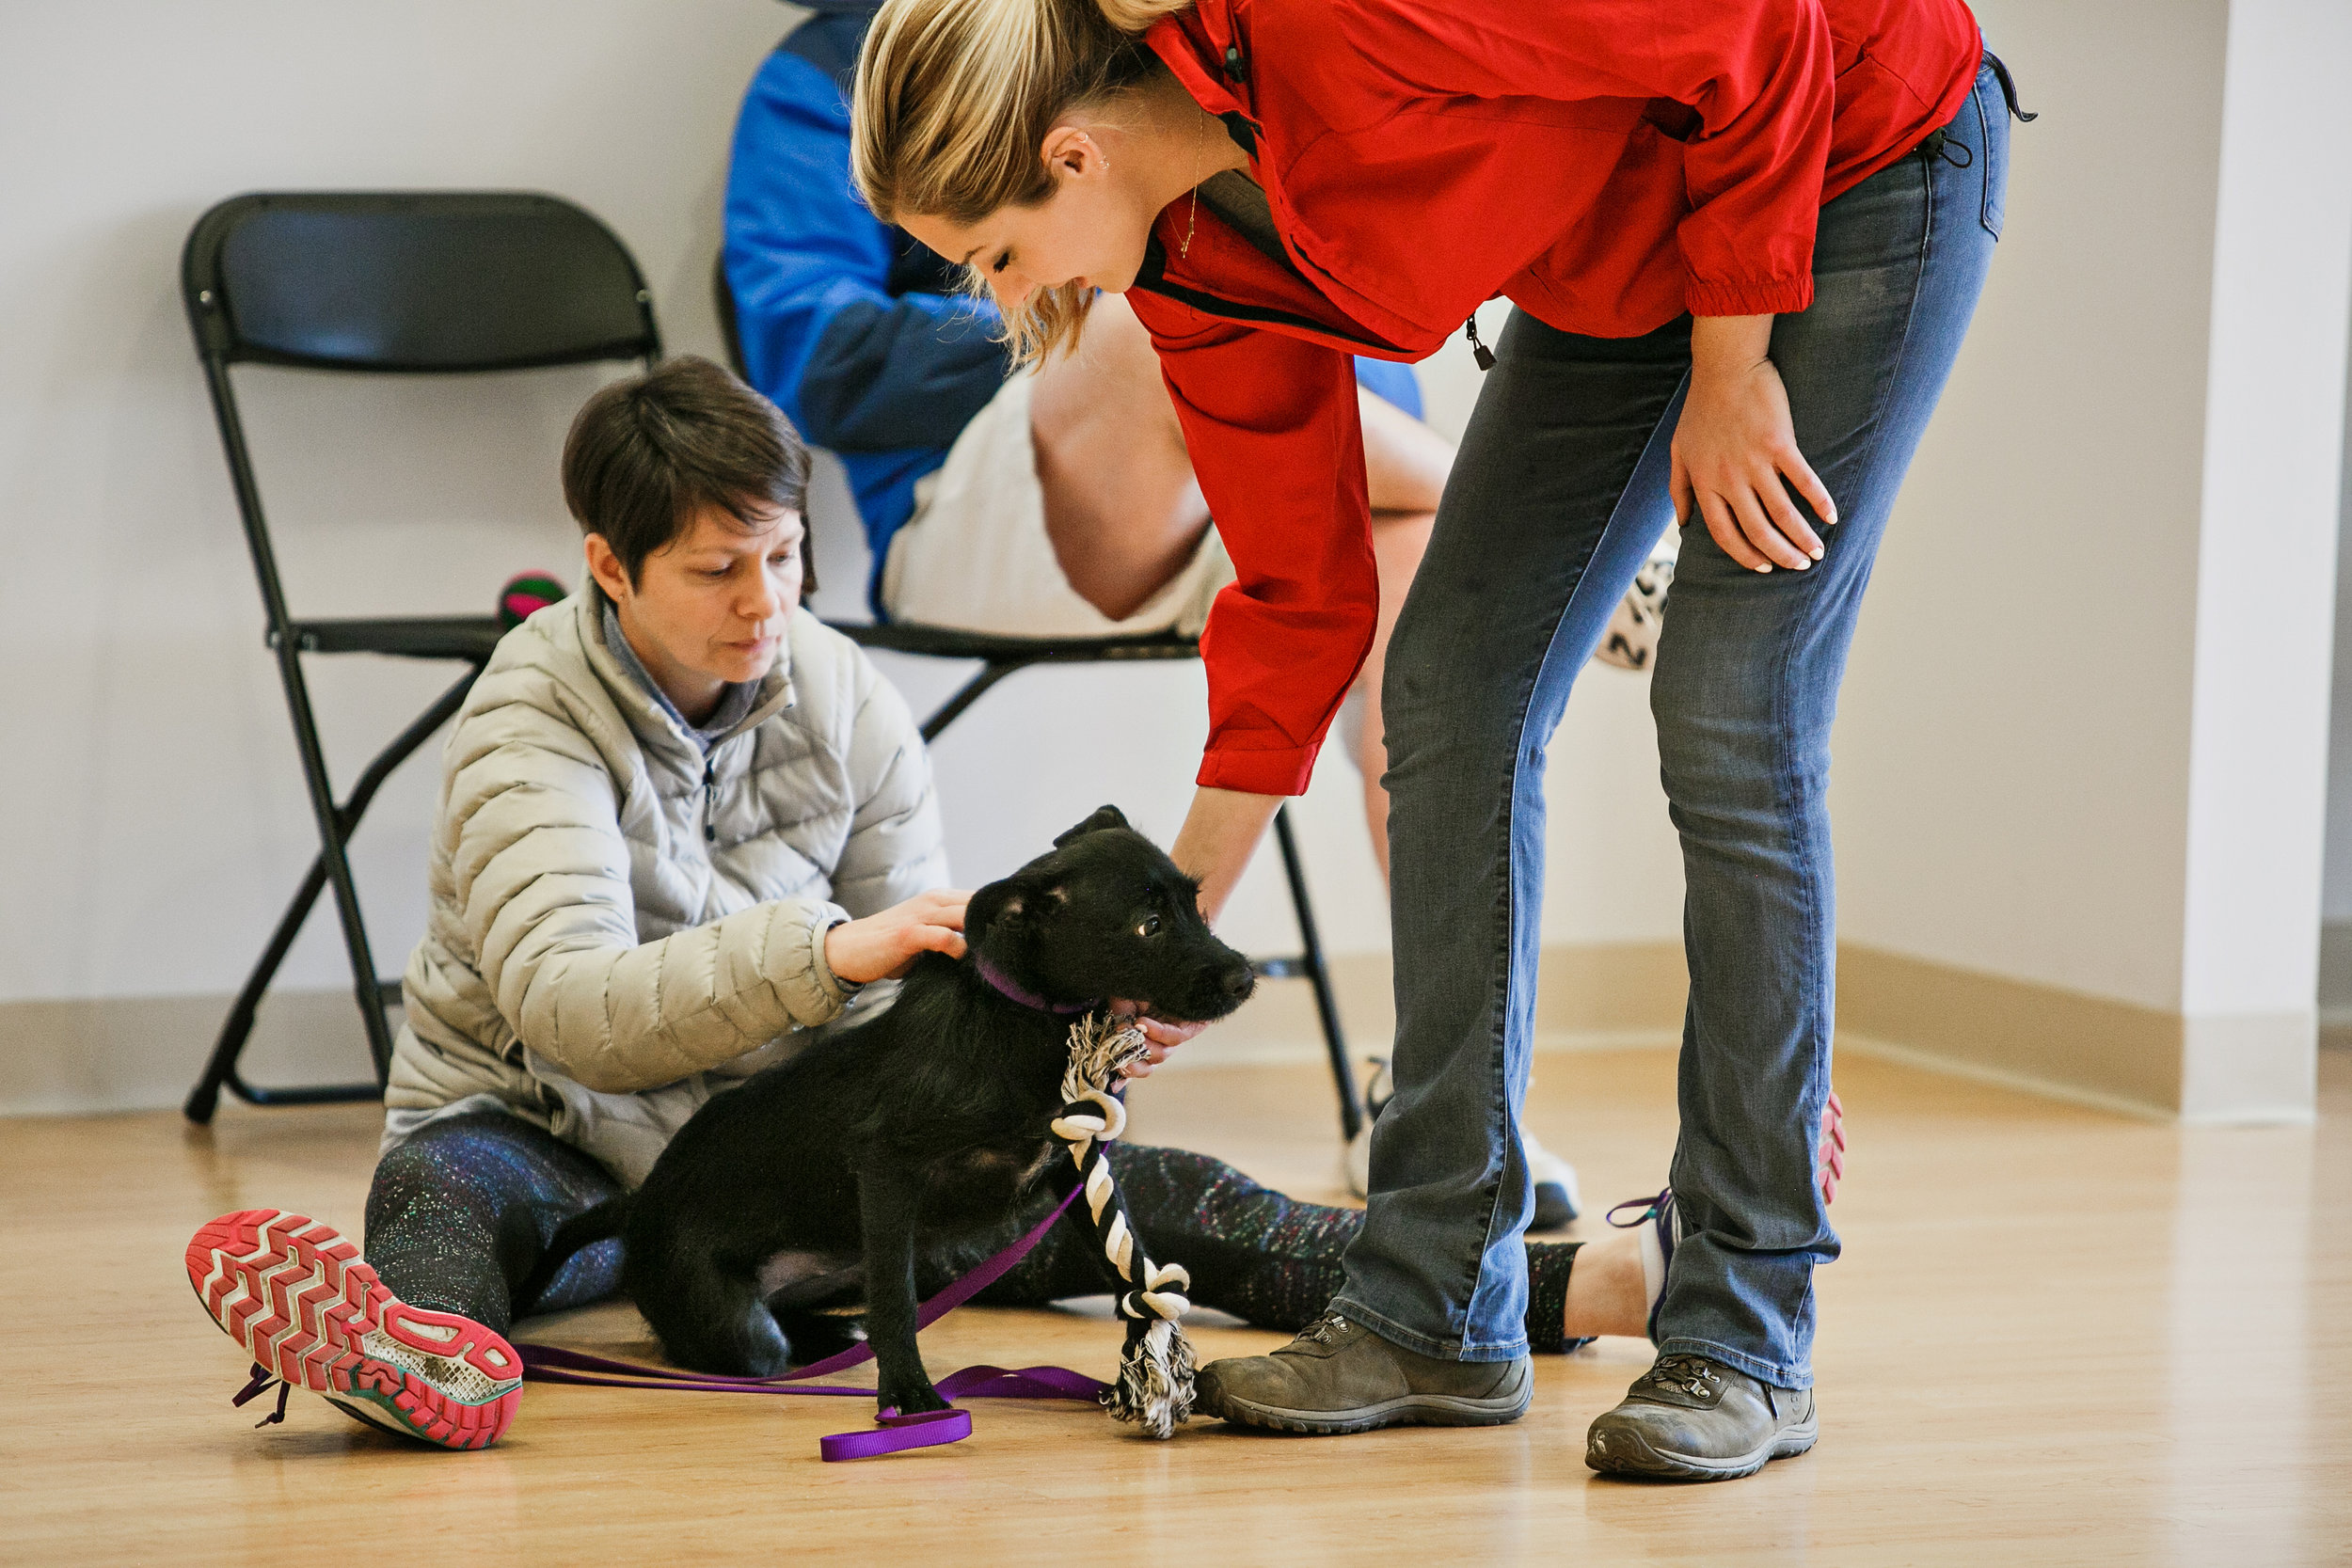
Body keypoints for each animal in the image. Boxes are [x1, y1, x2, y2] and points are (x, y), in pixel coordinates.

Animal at [524, 808, 1261, 1419]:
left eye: (1193, 904)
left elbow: (1126, 1258)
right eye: (1148, 926)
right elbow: (897, 1302)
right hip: (731, 1313)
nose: (1246, 977)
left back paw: (832, 1332)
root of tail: (639, 1202)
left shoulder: (1073, 1164)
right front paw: (908, 1392)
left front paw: (1148, 1350)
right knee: (754, 1342)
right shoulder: (887, 1170)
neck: (1020, 1019)